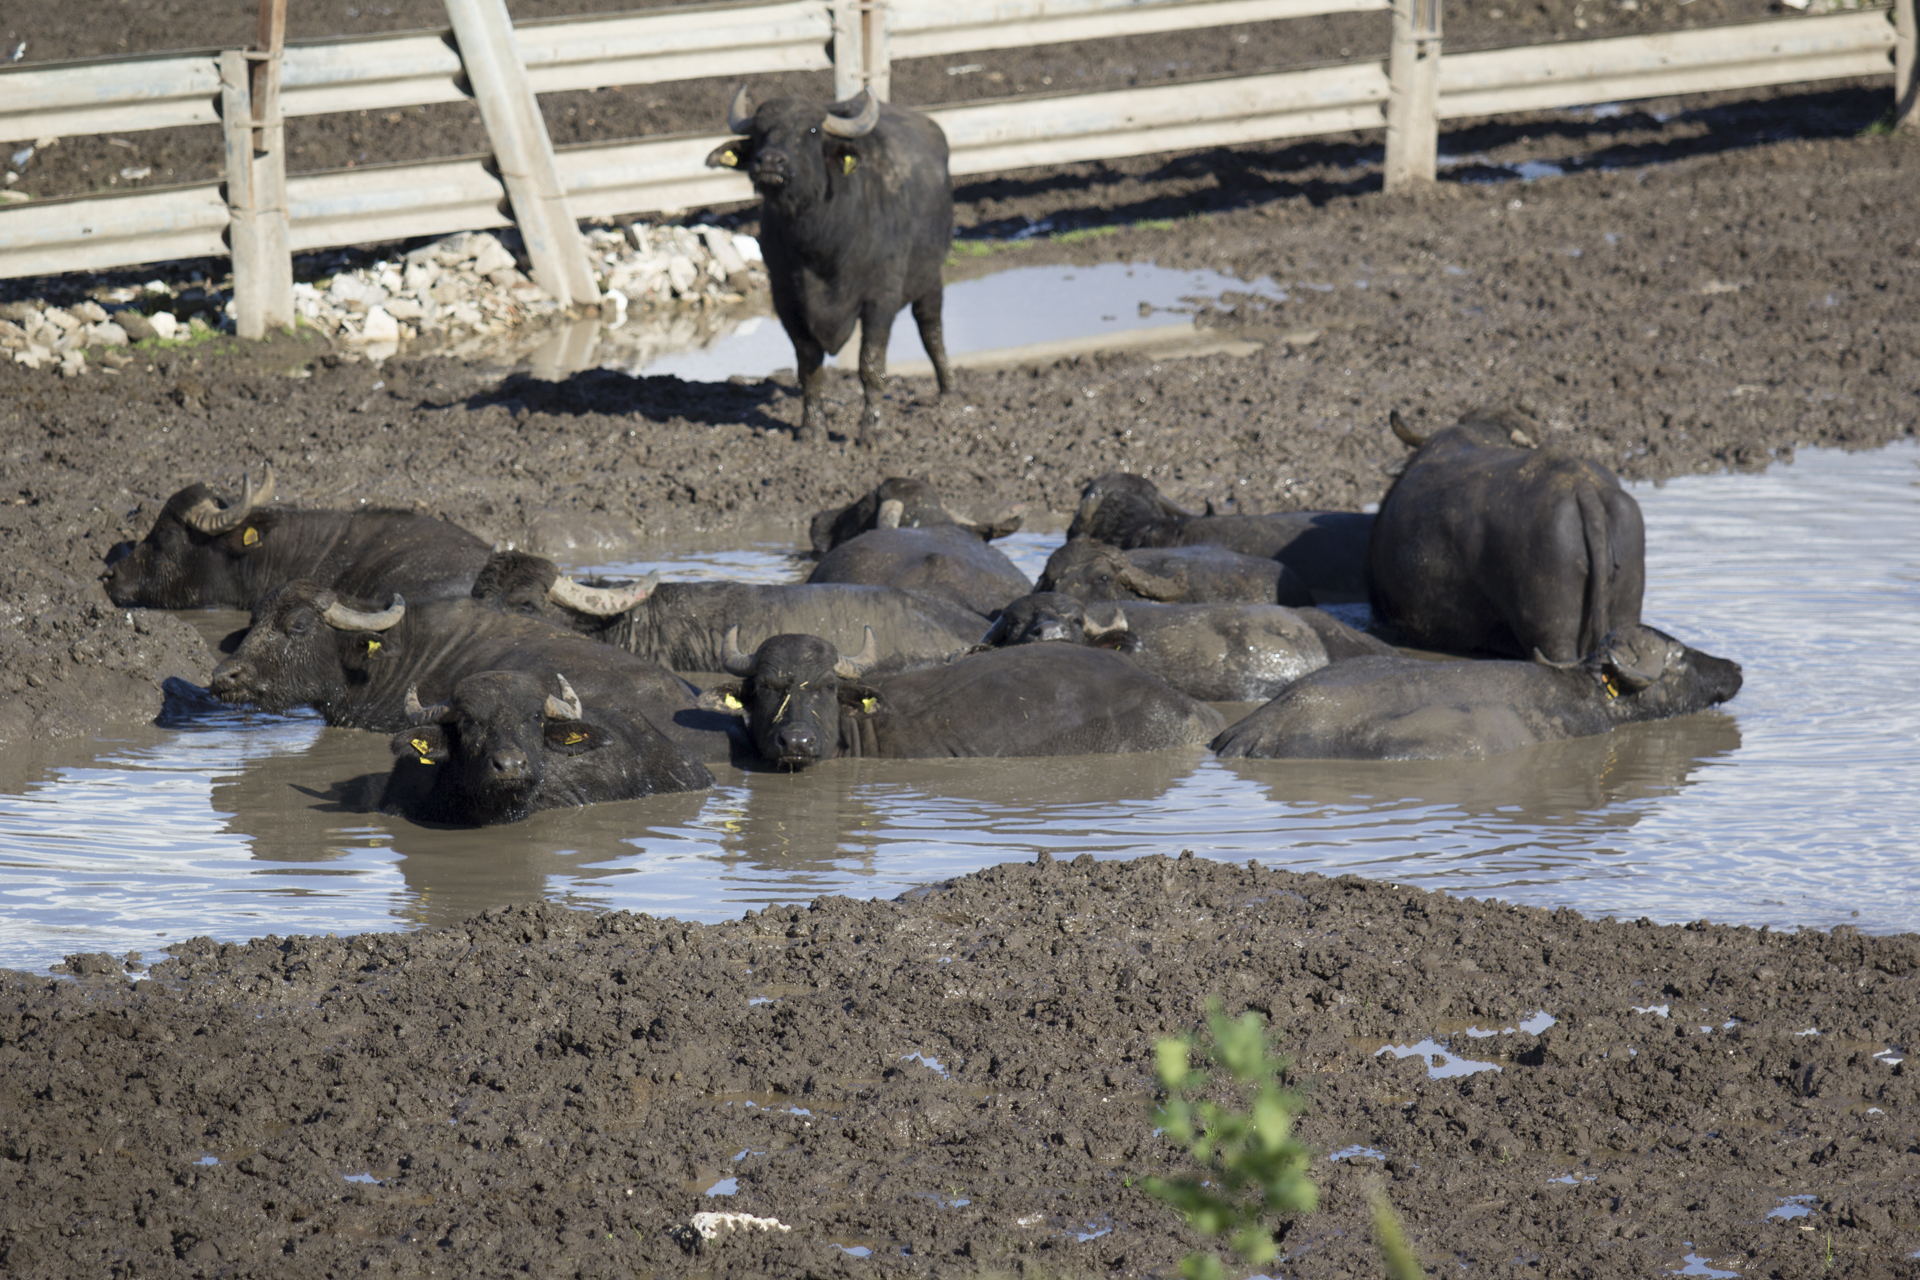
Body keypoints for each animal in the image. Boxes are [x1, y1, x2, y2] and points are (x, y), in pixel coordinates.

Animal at [706, 88, 954, 445]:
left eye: (811, 130)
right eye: (760, 131)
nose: (770, 162)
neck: (821, 242)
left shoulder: (881, 300)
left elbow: (871, 365)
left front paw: (872, 430)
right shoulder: (787, 303)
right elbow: (809, 368)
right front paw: (812, 429)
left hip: (930, 279)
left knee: (931, 331)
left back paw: (947, 393)